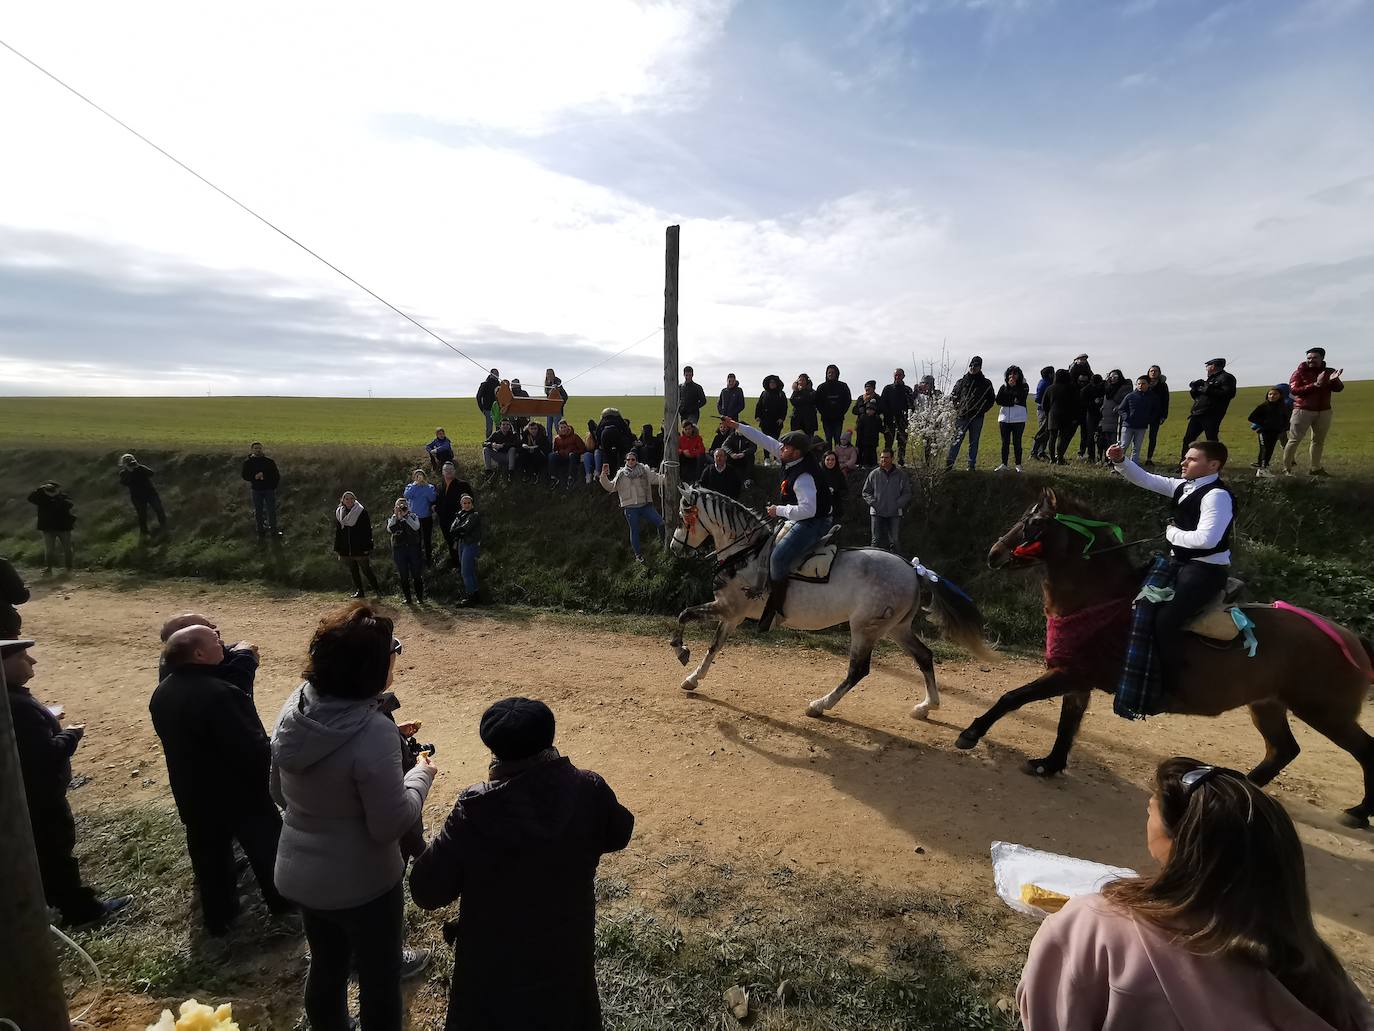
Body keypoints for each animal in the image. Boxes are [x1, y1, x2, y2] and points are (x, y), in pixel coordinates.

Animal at [662, 489, 989, 720]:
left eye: (682, 517)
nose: (675, 547)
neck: (747, 552)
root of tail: (912, 569)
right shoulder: (731, 615)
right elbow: (714, 646)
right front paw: (692, 679)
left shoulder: (729, 609)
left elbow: (684, 614)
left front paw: (680, 650)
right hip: (897, 628)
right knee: (924, 656)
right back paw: (926, 706)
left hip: (865, 629)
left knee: (858, 670)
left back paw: (820, 705)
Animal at [956, 489, 1374, 830]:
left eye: (1036, 523)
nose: (994, 554)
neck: (1101, 601)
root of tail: (1349, 638)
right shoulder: (1077, 681)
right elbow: (1066, 725)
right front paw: (1049, 763)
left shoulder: (1068, 673)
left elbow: (1013, 698)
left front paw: (971, 733)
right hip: (1268, 705)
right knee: (1282, 750)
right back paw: (1242, 791)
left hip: (1324, 712)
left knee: (1362, 751)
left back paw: (1357, 812)